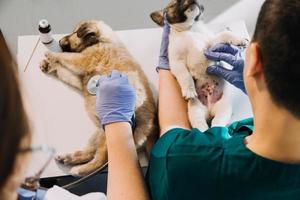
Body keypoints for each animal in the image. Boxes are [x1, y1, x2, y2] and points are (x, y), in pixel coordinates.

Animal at [39, 20, 159, 177]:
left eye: (75, 33)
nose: (59, 42)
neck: (102, 40)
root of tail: (151, 130)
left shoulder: (82, 60)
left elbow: (65, 57)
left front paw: (51, 54)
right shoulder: (80, 79)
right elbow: (62, 70)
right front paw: (49, 65)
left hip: (112, 136)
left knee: (101, 159)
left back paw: (79, 170)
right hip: (100, 133)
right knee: (90, 152)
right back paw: (69, 158)